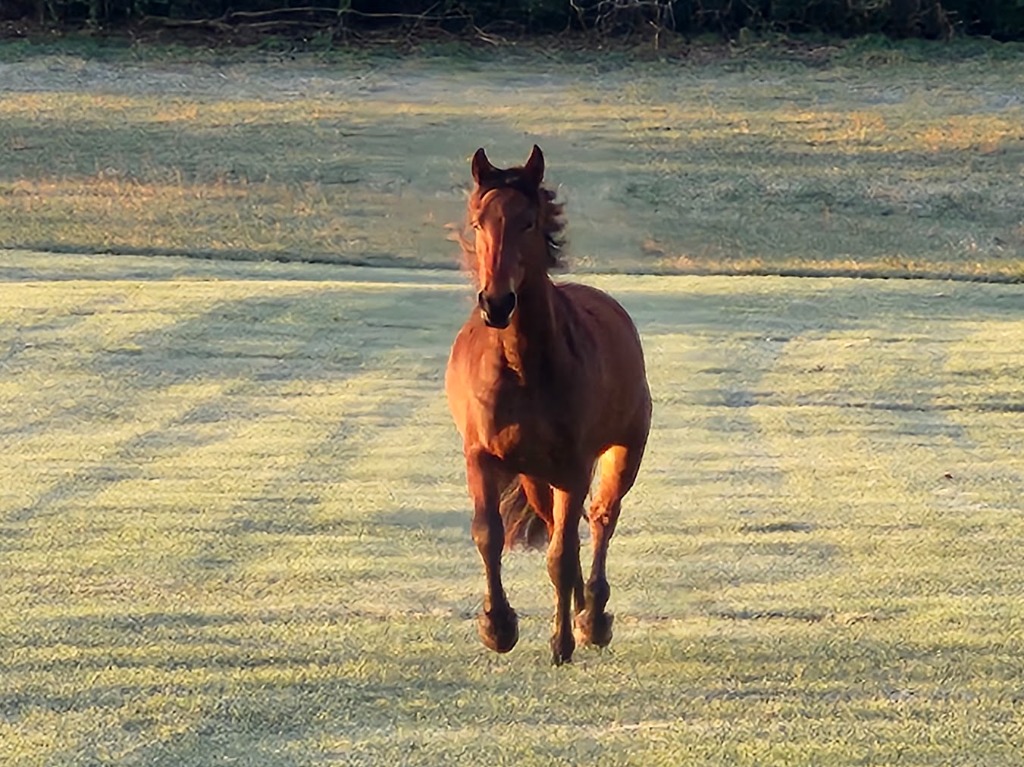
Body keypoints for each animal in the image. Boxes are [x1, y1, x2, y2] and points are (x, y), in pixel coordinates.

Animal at [444, 145, 652, 665]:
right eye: (478, 222)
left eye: (528, 221)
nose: (497, 303)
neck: (523, 367)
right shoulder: (481, 456)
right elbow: (489, 534)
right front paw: (497, 626)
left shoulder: (573, 468)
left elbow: (561, 553)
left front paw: (562, 641)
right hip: (536, 478)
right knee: (567, 527)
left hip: (621, 453)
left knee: (600, 520)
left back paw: (592, 618)